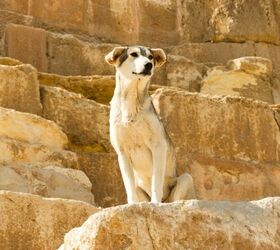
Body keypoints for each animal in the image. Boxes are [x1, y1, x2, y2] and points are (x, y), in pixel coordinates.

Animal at [104, 46, 195, 203]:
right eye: (133, 54)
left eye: (150, 57)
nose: (149, 65)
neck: (132, 104)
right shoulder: (122, 152)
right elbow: (129, 186)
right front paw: (132, 205)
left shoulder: (158, 146)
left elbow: (156, 182)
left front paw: (155, 203)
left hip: (185, 179)